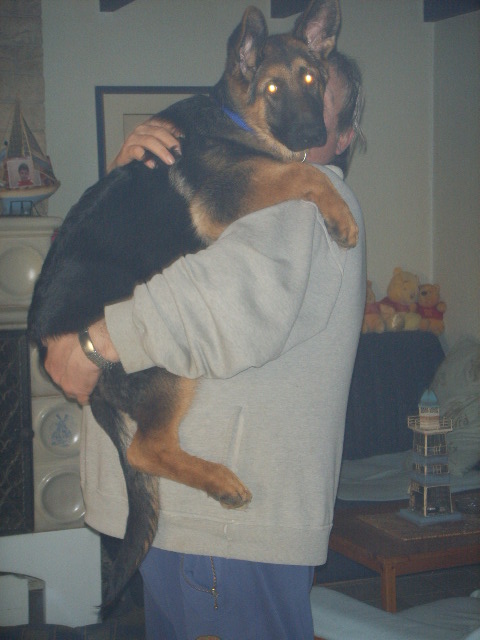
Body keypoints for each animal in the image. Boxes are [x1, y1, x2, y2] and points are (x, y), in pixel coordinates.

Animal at [27, 0, 356, 604]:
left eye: (311, 81)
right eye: (272, 87)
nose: (313, 131)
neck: (235, 117)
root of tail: (44, 342)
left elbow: (297, 166)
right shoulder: (235, 193)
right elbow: (300, 172)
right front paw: (339, 213)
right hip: (165, 367)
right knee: (145, 448)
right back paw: (219, 480)